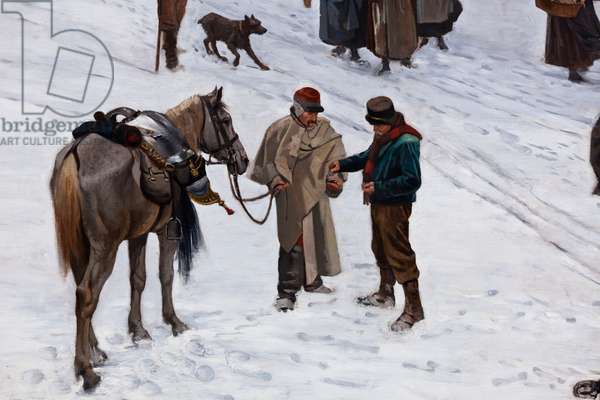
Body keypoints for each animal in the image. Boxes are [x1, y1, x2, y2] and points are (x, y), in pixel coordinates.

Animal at [50, 87, 249, 391]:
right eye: (225, 120)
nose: (243, 160)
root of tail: (75, 155)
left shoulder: (138, 235)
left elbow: (138, 279)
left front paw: (138, 330)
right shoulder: (167, 231)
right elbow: (165, 274)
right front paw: (174, 322)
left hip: (82, 246)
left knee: (81, 288)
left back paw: (96, 352)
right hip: (105, 247)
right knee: (87, 294)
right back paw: (86, 371)